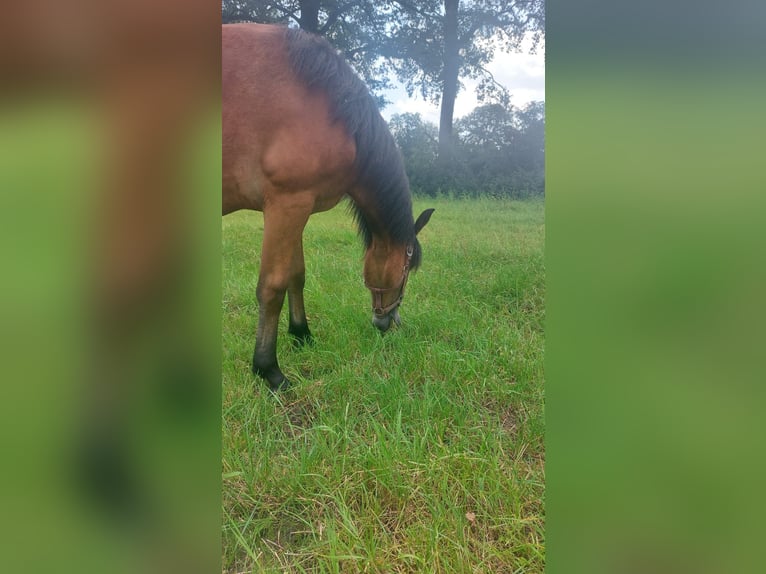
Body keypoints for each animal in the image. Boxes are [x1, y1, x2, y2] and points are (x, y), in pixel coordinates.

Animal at [225, 22, 436, 392]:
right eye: (407, 270)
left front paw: (301, 333)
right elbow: (272, 287)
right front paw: (268, 368)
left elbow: (296, 275)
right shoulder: (287, 204)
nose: (387, 322)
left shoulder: (298, 207)